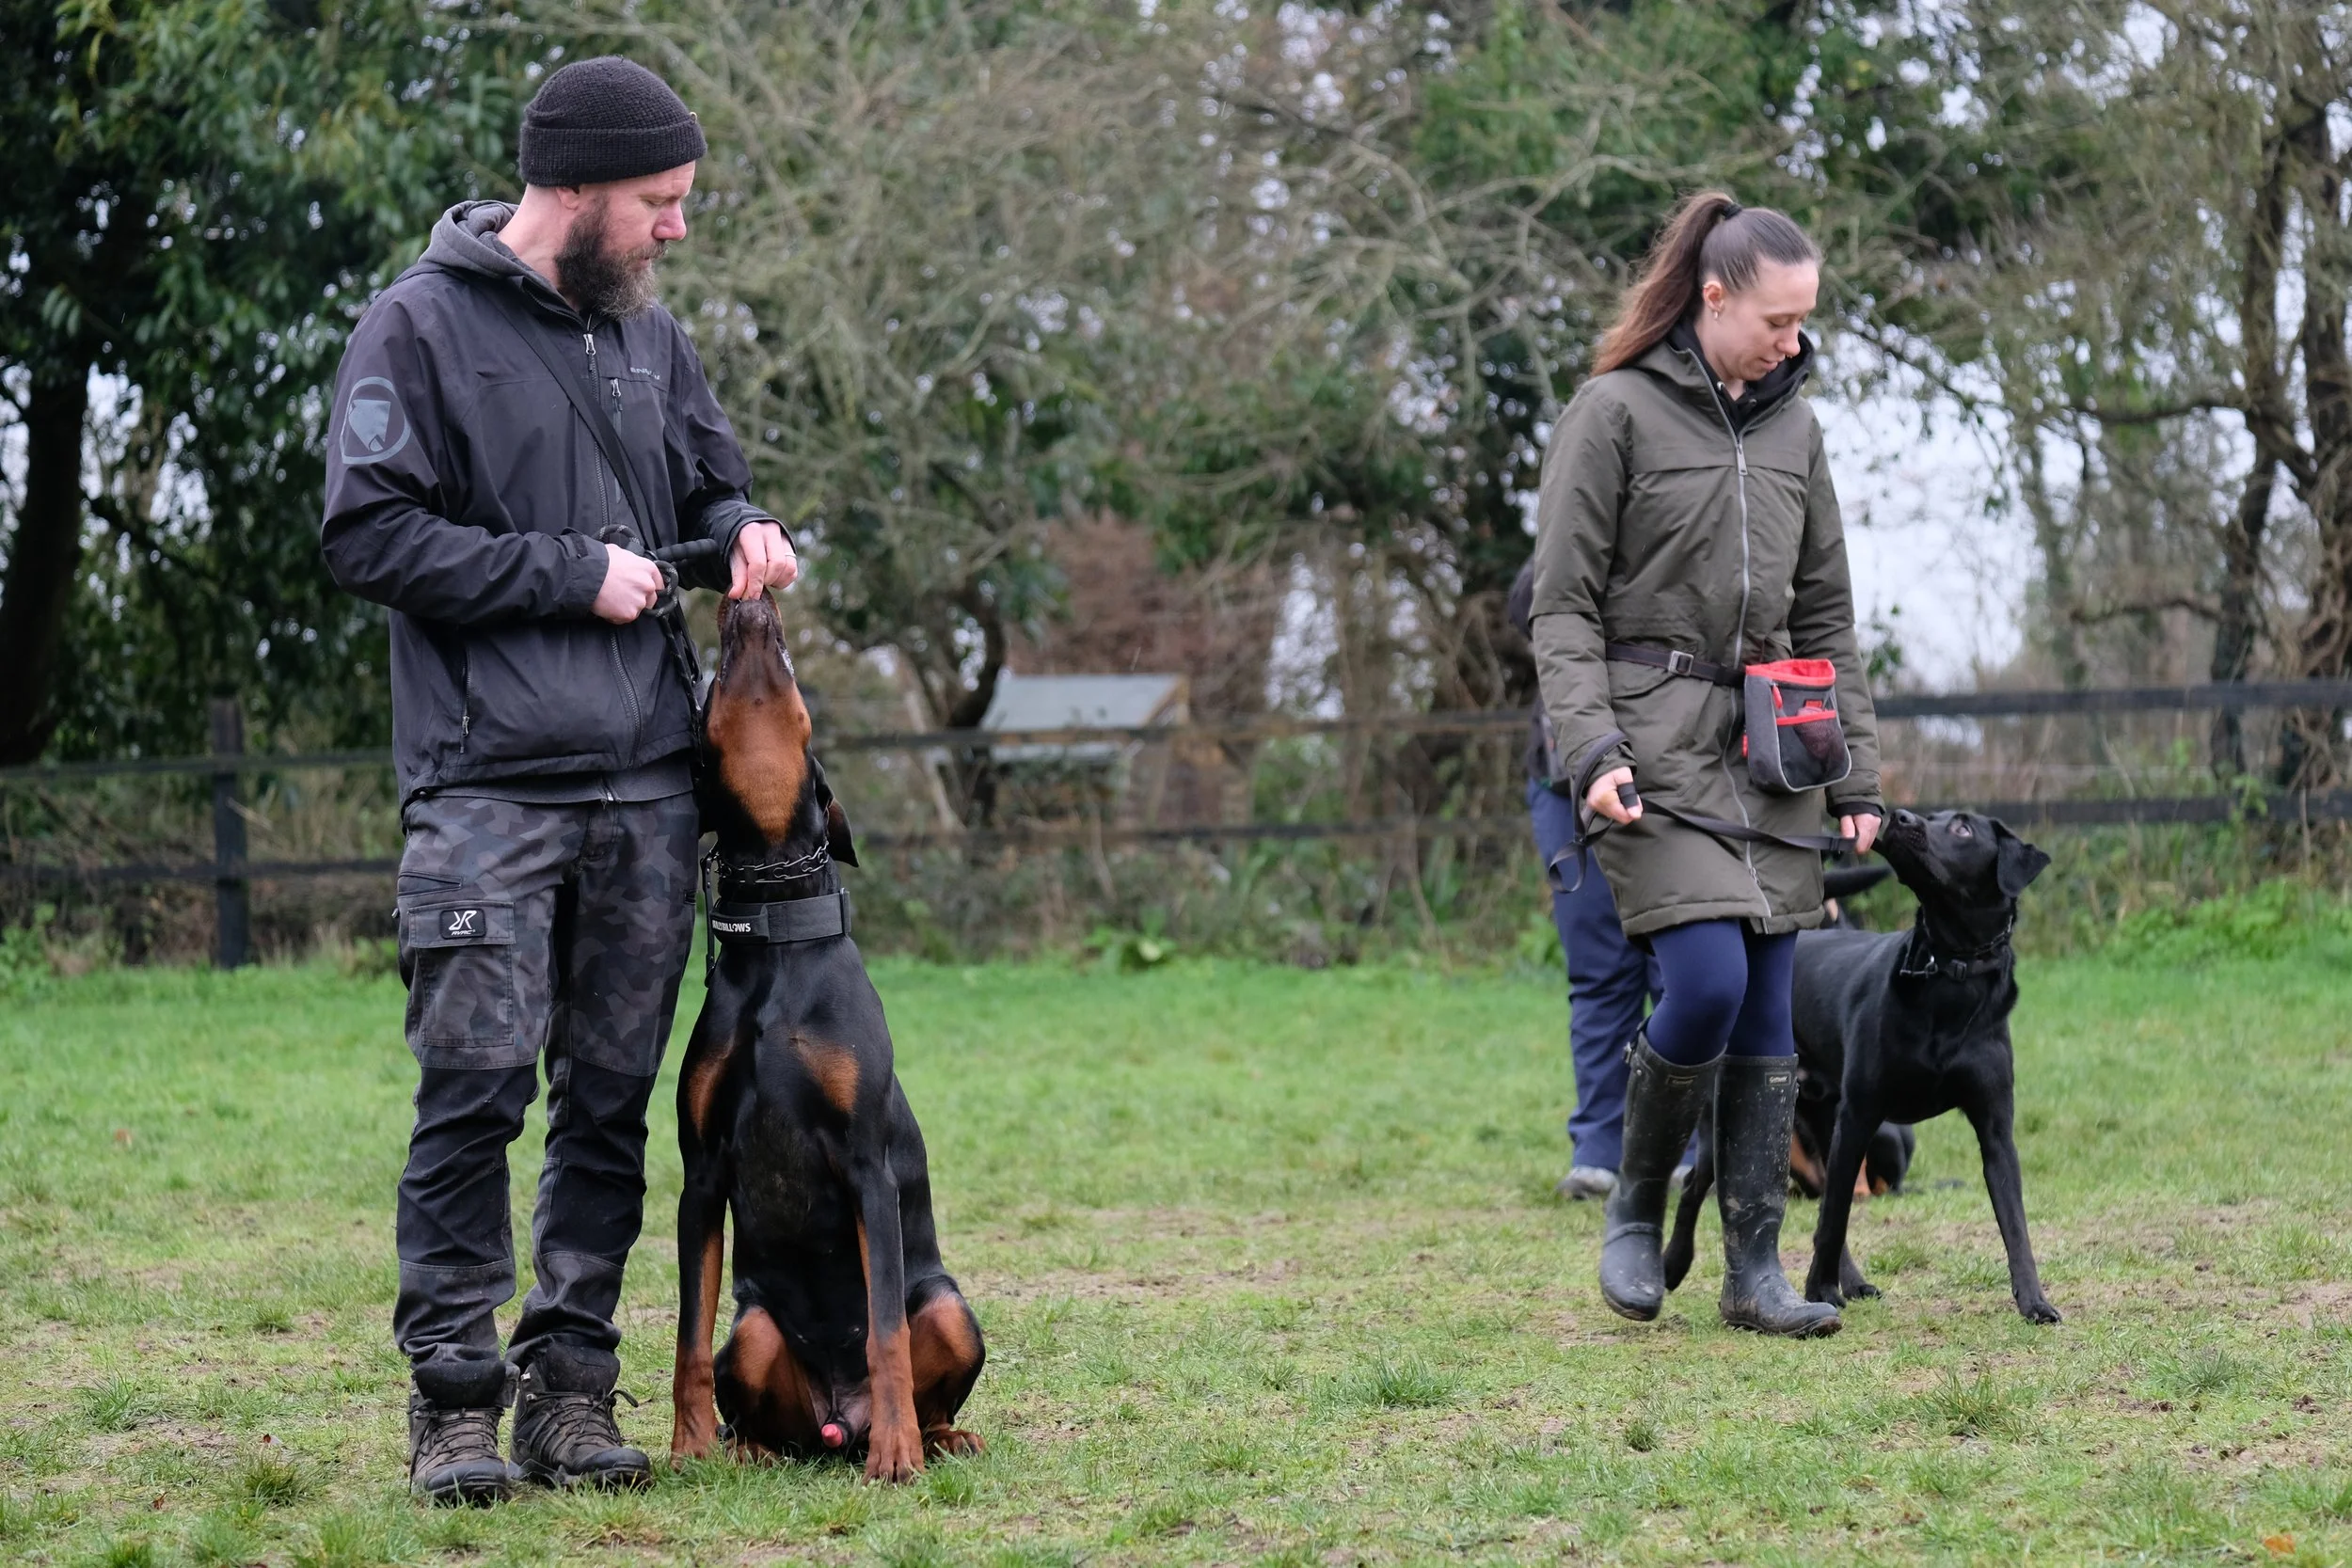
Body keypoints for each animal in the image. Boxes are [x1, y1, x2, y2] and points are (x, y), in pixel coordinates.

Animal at [669, 593, 985, 1480]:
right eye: (709, 692)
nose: (748, 598)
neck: (777, 937)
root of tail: (840, 1422)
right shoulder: (700, 1173)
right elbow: (687, 1337)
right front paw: (685, 1446)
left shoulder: (866, 1164)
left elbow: (885, 1334)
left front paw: (900, 1454)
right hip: (756, 1329)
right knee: (764, 1407)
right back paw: (748, 1448)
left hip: (951, 1303)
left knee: (919, 1360)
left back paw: (930, 1436)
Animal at [1663, 808, 2059, 1324]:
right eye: (1933, 817)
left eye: (1962, 828)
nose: (1901, 816)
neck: (1948, 971)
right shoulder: (1860, 1115)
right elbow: (1834, 1220)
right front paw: (1818, 1290)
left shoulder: (1995, 1130)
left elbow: (2015, 1225)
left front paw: (2035, 1302)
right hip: (1735, 1117)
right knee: (1698, 1186)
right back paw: (1673, 1265)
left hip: (1822, 1120)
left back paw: (1848, 1281)